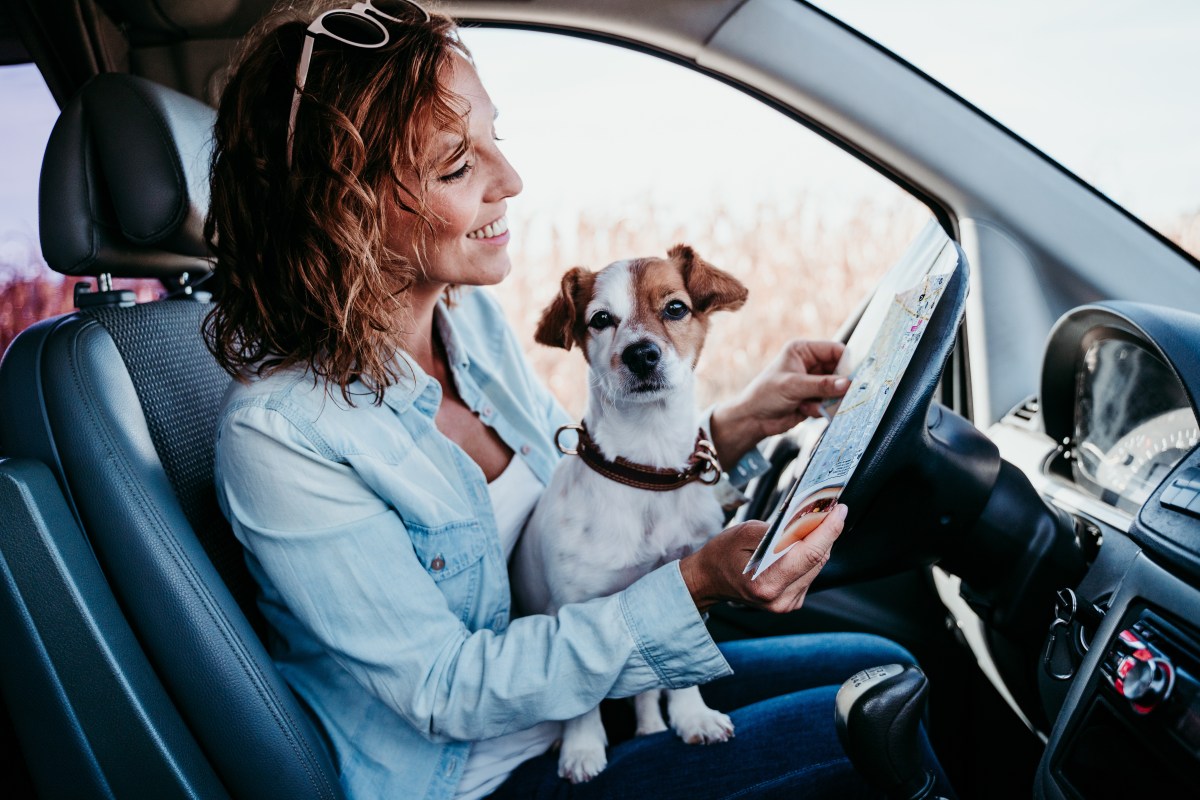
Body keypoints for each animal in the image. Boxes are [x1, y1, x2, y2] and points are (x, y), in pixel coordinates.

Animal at [513, 242, 748, 782]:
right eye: (600, 319)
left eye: (676, 308)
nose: (641, 353)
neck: (647, 469)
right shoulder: (572, 609)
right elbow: (579, 697)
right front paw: (581, 748)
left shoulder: (681, 589)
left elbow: (679, 666)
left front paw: (691, 716)